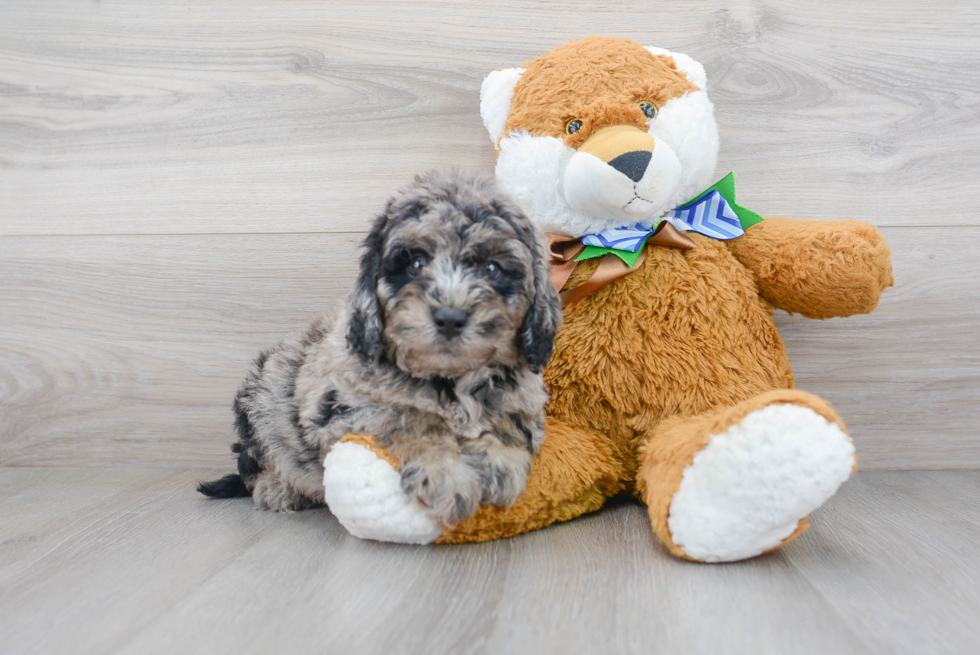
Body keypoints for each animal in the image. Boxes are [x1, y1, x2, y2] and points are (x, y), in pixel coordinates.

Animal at [198, 170, 564, 528]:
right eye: (416, 263)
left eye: (492, 269)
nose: (450, 318)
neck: (451, 378)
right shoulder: (345, 407)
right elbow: (409, 419)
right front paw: (446, 476)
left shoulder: (527, 399)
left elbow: (512, 425)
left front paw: (499, 467)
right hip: (261, 405)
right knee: (255, 468)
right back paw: (278, 488)